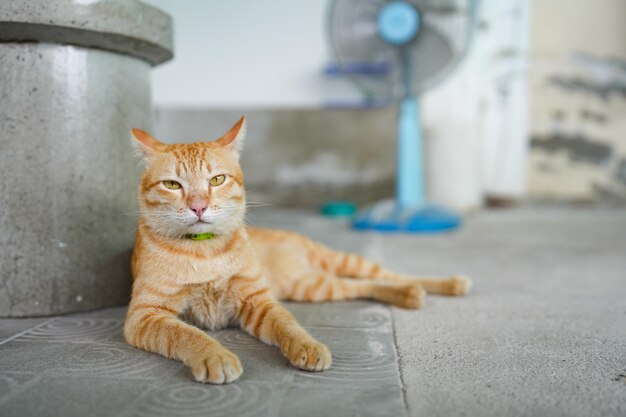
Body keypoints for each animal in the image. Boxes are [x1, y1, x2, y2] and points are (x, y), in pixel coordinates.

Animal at [124, 116, 468, 384]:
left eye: (217, 179)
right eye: (172, 185)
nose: (198, 206)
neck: (206, 251)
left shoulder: (258, 300)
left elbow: (288, 325)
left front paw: (307, 346)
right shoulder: (146, 315)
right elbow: (190, 334)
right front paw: (215, 356)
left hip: (338, 261)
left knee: (390, 273)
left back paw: (448, 283)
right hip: (315, 286)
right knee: (363, 285)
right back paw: (409, 294)